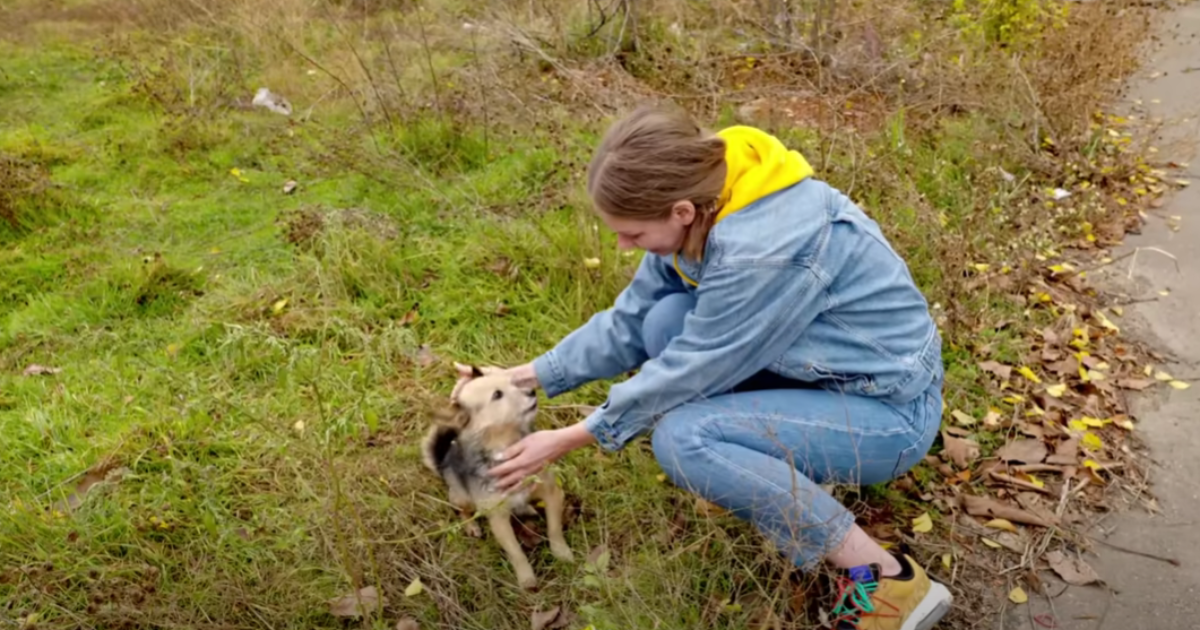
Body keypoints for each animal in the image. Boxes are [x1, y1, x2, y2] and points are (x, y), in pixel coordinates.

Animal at [420, 362, 573, 590]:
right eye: (497, 394)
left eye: (515, 383)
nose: (532, 391)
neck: (506, 444)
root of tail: (443, 461)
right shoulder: (498, 518)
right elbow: (516, 552)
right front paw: (526, 578)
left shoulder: (552, 492)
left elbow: (554, 529)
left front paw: (561, 553)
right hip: (462, 497)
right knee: (462, 511)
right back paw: (471, 526)